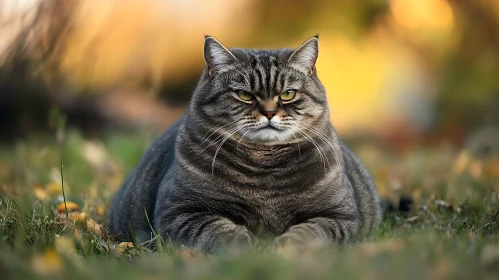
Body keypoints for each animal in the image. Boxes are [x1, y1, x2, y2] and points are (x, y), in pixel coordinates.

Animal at [109, 35, 382, 252]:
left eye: (287, 94)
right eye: (244, 95)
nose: (269, 112)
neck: (264, 167)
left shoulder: (339, 215)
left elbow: (309, 233)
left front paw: (283, 248)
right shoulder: (180, 212)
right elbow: (219, 231)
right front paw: (249, 248)